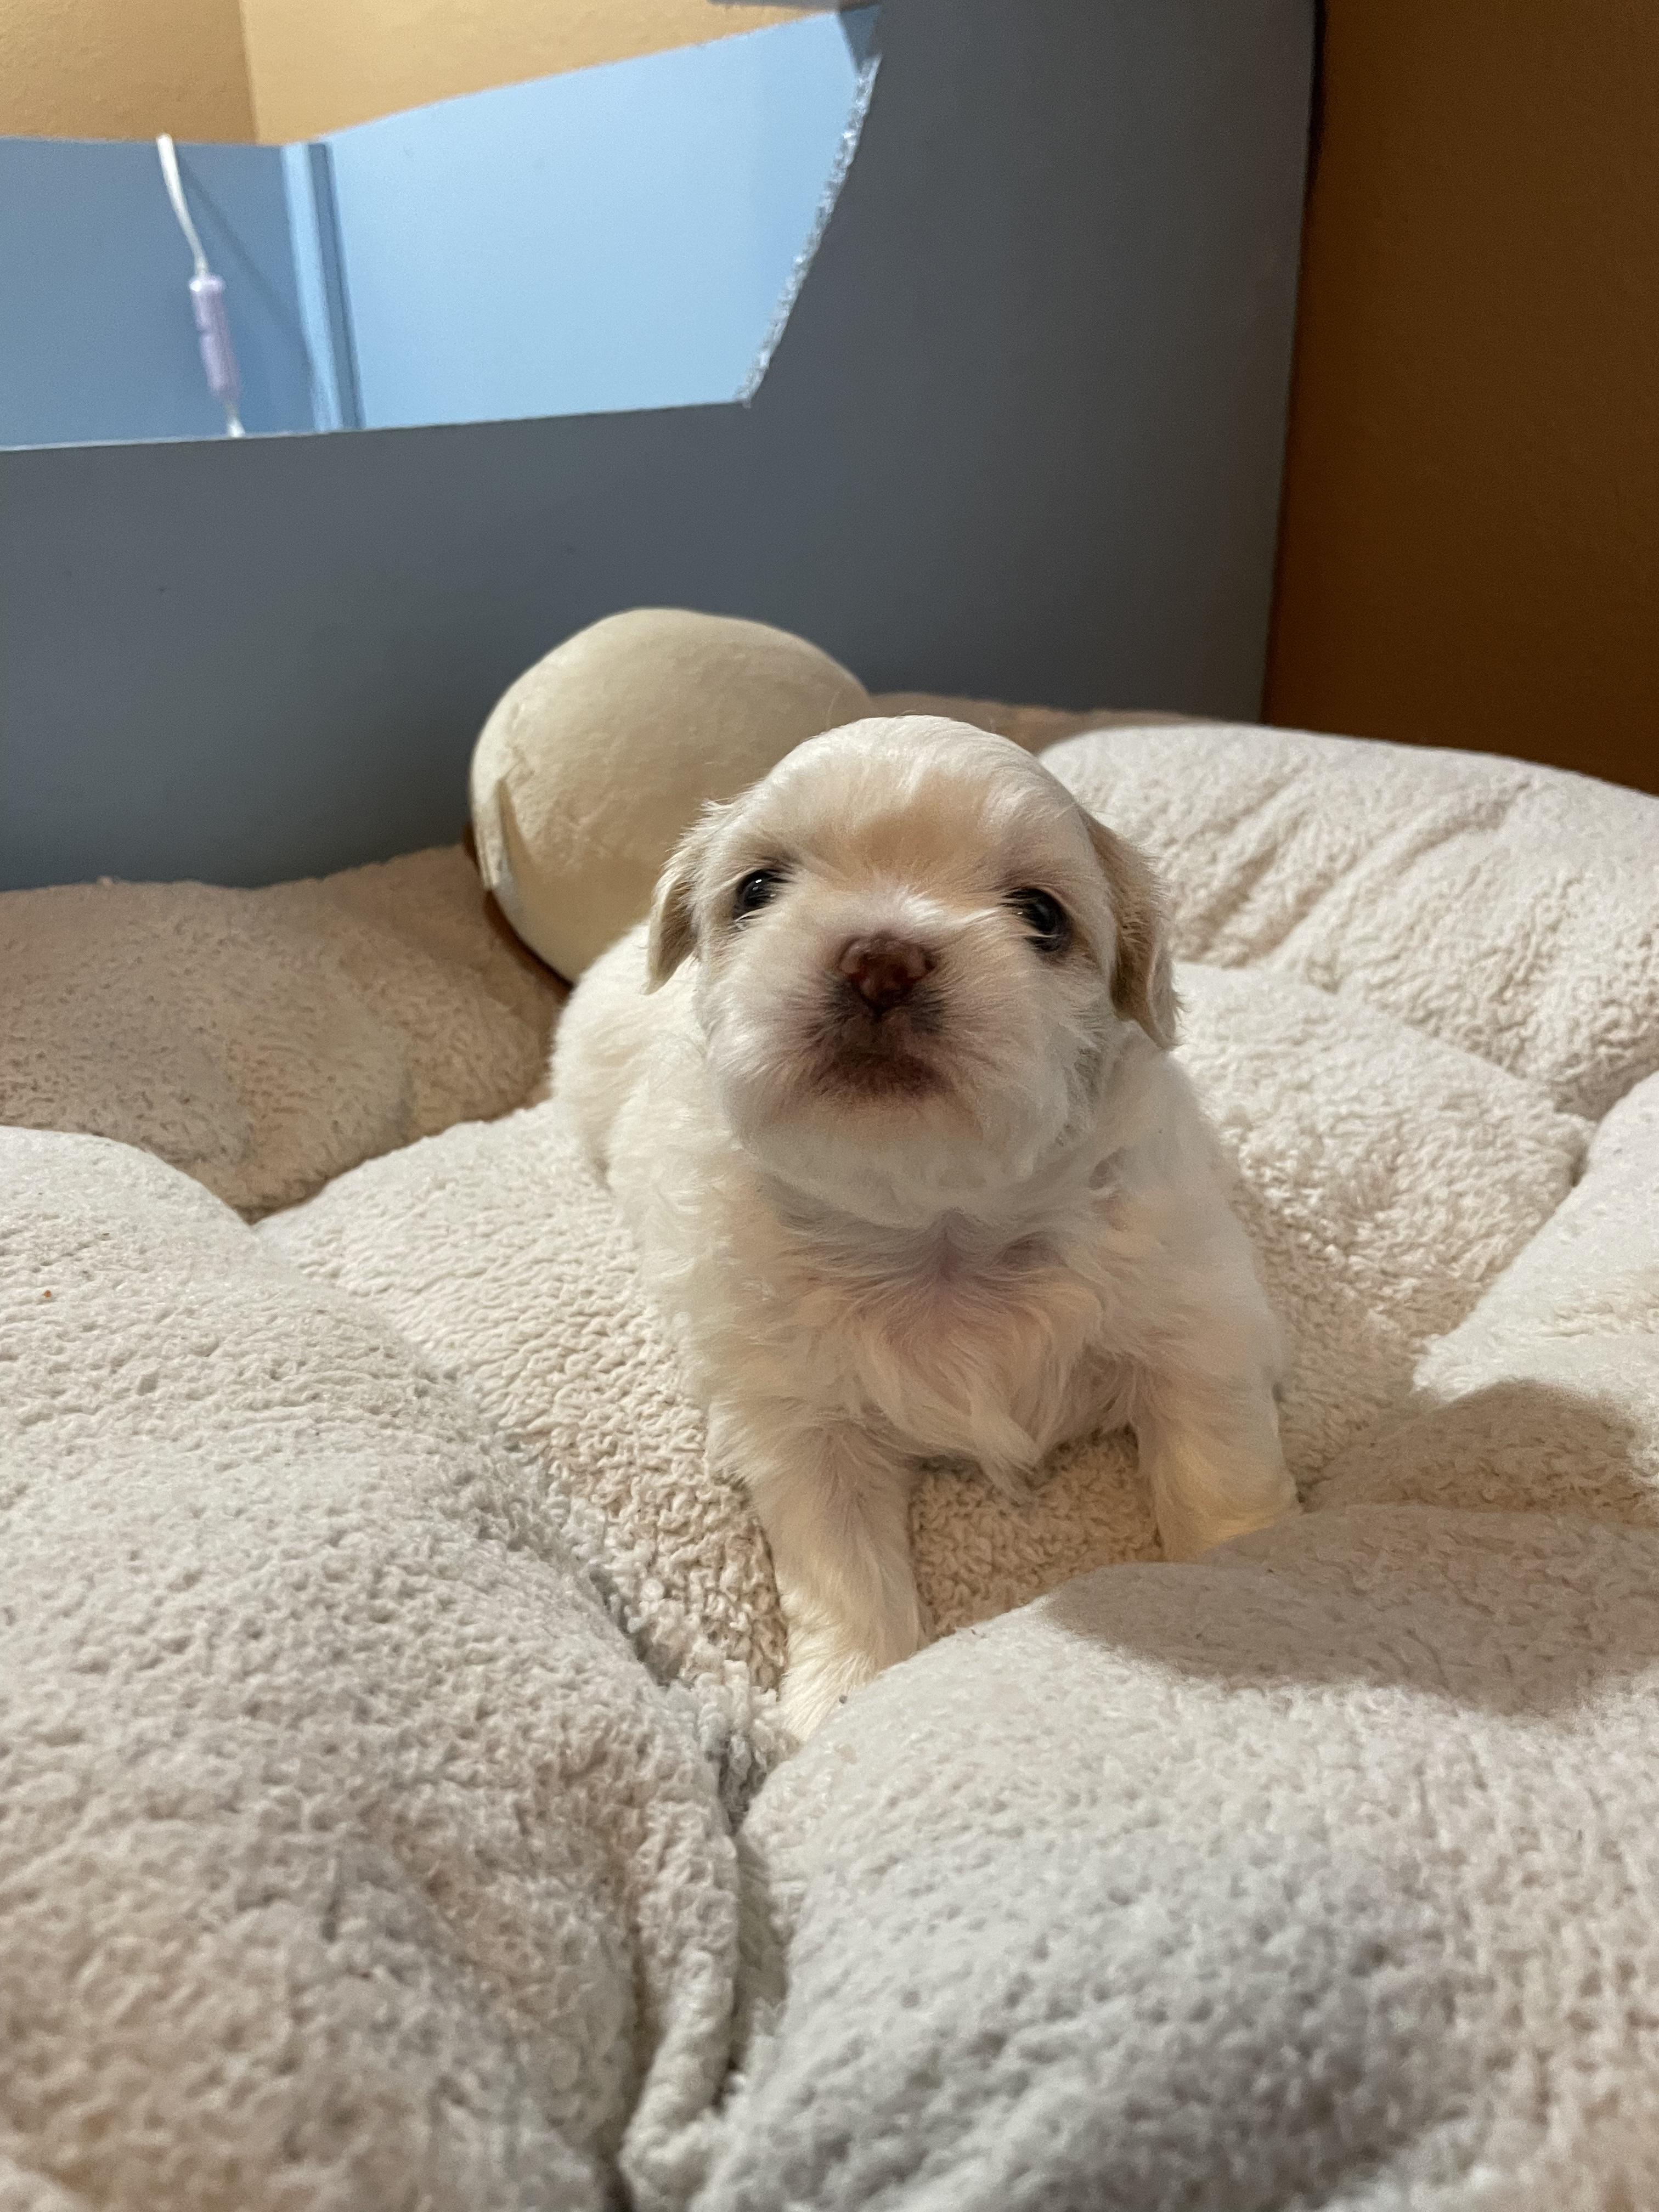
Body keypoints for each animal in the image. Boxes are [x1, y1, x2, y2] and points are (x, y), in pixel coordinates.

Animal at [554, 717, 1298, 1737]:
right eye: (756, 890)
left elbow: (1219, 1473)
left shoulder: (1194, 1326)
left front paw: (1246, 1587)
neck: (936, 1229)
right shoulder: (793, 1417)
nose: (881, 959)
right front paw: (842, 1697)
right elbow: (840, 1567)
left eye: (1041, 915)